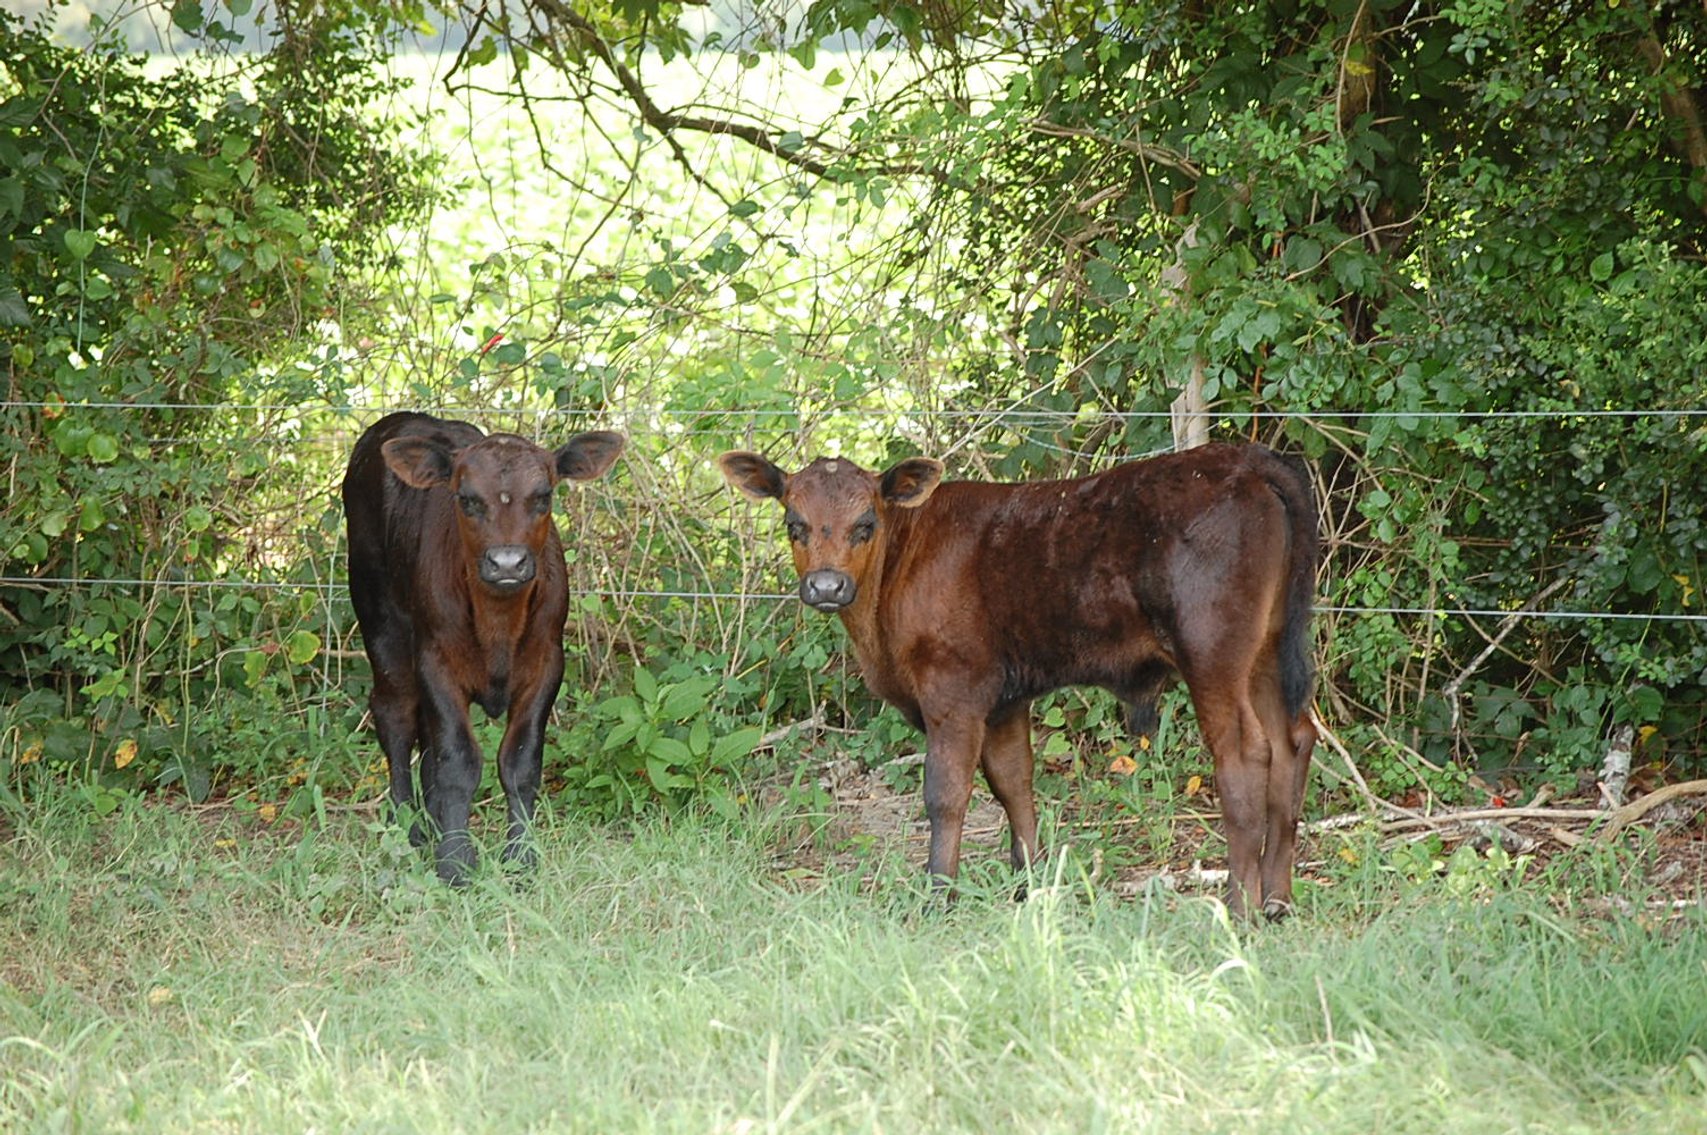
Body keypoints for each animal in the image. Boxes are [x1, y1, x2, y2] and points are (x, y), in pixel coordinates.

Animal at [343, 411, 624, 884]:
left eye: (544, 496)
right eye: (467, 498)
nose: (507, 562)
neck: (498, 628)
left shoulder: (547, 664)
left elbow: (520, 763)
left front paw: (521, 858)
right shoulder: (436, 662)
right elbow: (457, 762)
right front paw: (455, 861)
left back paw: (432, 823)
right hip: (379, 619)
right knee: (395, 716)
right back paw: (407, 830)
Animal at [718, 443, 1319, 919]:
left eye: (866, 523)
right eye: (793, 524)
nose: (826, 586)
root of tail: (1246, 458)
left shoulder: (953, 690)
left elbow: (946, 793)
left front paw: (939, 893)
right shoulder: (1005, 700)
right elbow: (1013, 782)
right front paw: (1028, 883)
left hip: (1214, 653)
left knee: (1245, 754)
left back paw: (1239, 909)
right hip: (1267, 651)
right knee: (1295, 740)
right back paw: (1277, 900)